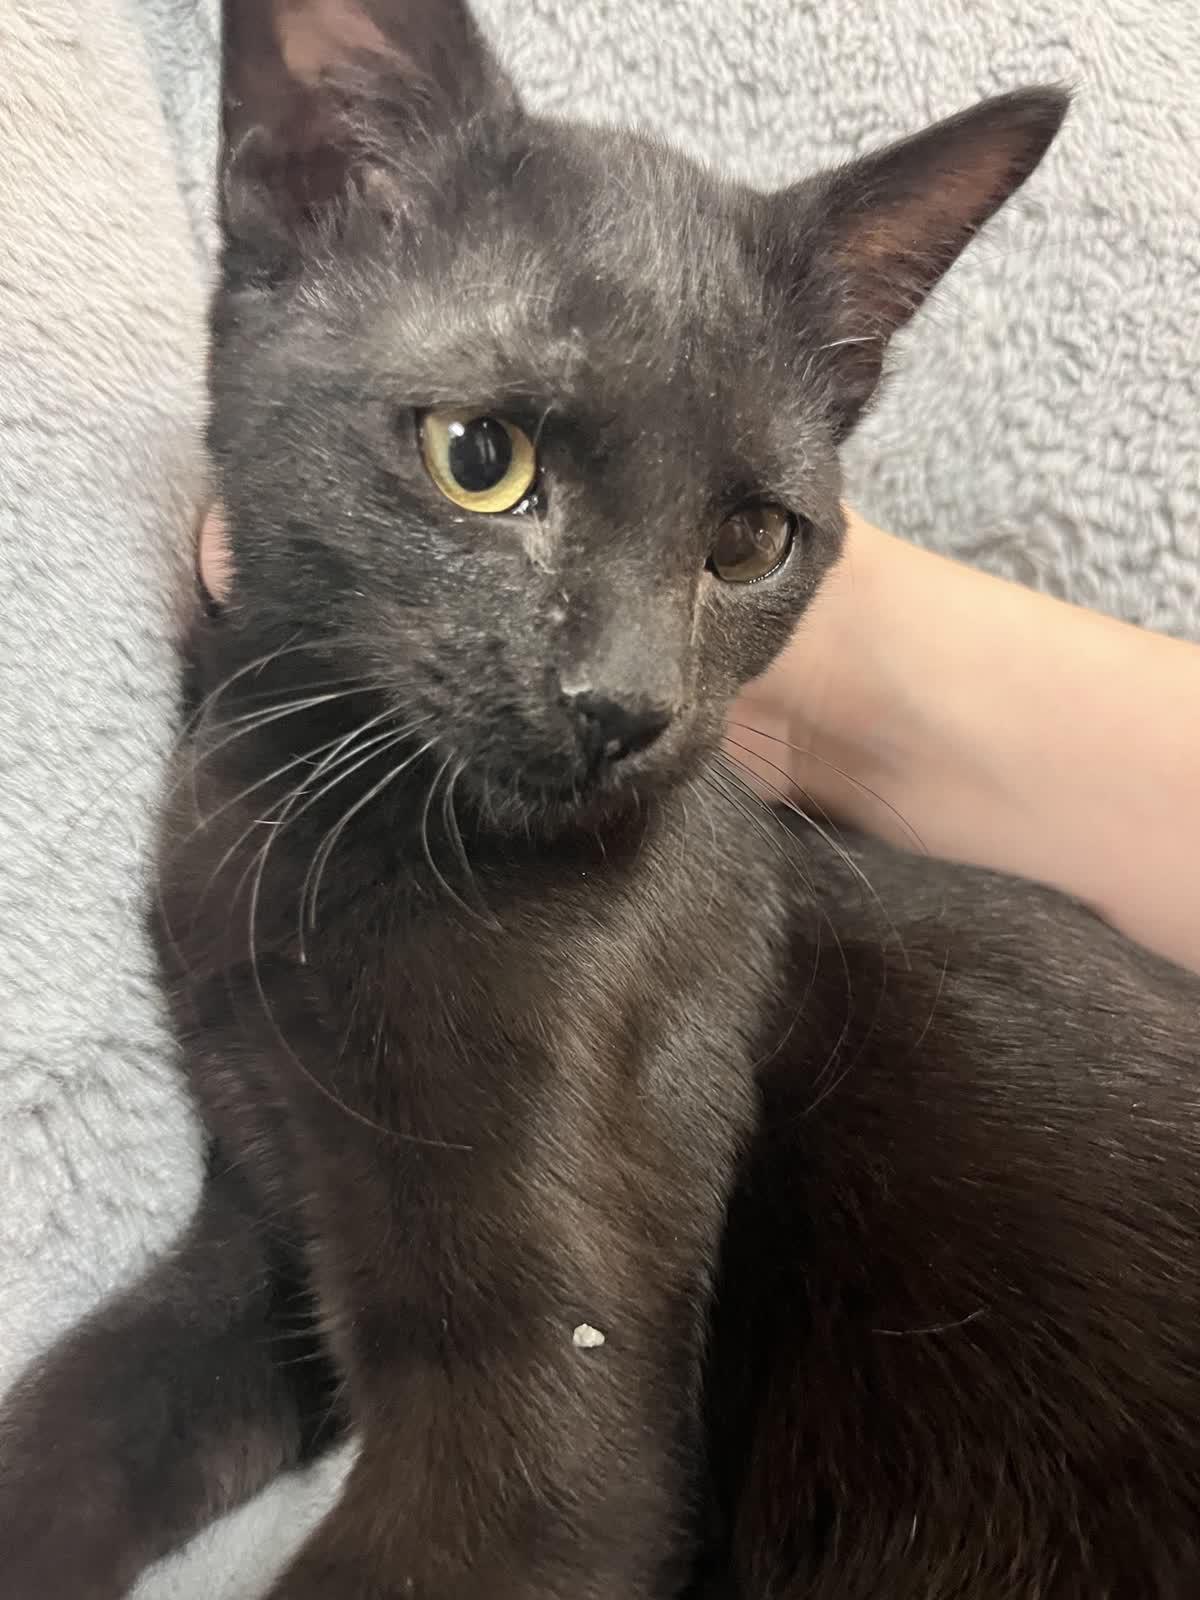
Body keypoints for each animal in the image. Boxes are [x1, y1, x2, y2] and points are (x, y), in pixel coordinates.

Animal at [1, 1, 1198, 1597]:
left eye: (750, 540)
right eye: (479, 458)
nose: (627, 706)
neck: (334, 837)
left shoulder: (549, 1451)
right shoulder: (263, 1226)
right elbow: (83, 1417)